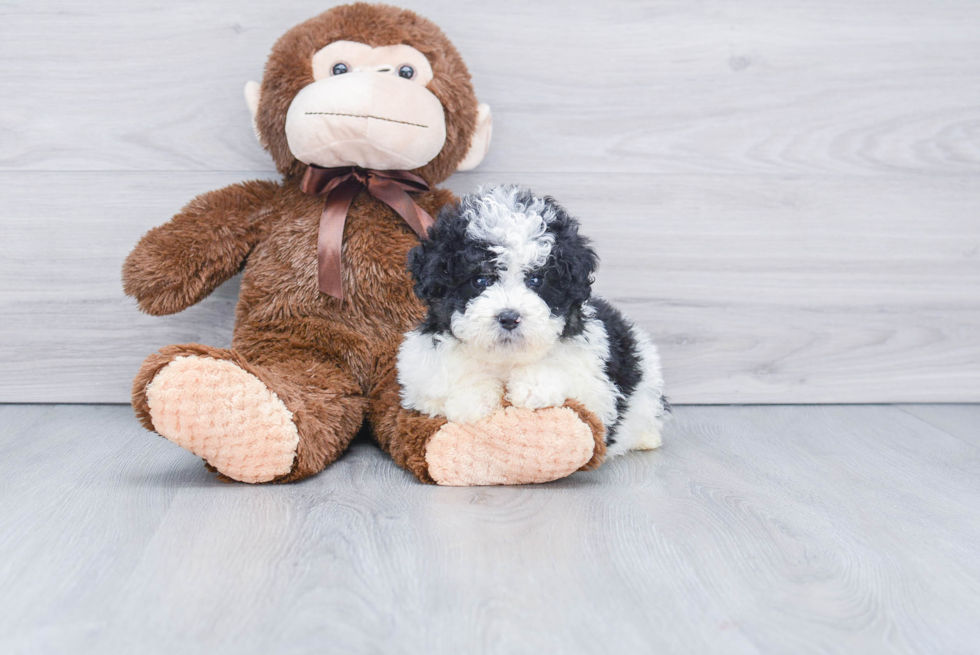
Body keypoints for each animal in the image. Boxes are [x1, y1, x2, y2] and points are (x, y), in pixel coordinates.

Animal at [398, 187, 668, 458]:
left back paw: (646, 438)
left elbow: (567, 373)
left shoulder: (598, 389)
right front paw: (474, 397)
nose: (509, 317)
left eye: (536, 280)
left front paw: (531, 387)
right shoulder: (421, 379)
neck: (507, 359)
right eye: (480, 280)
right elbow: (447, 386)